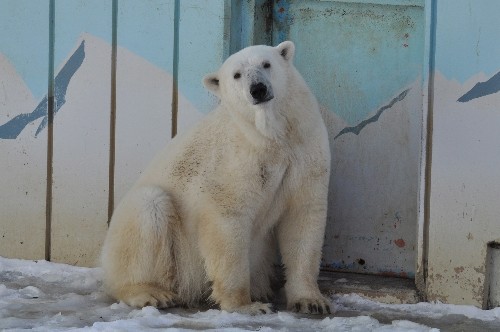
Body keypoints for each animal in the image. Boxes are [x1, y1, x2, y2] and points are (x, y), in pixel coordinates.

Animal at [99, 40, 330, 314]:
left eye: (266, 64)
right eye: (237, 75)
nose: (258, 89)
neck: (271, 136)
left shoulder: (305, 149)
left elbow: (303, 216)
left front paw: (312, 301)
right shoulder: (234, 160)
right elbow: (227, 220)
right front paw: (247, 306)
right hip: (165, 247)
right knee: (148, 208)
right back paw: (151, 293)